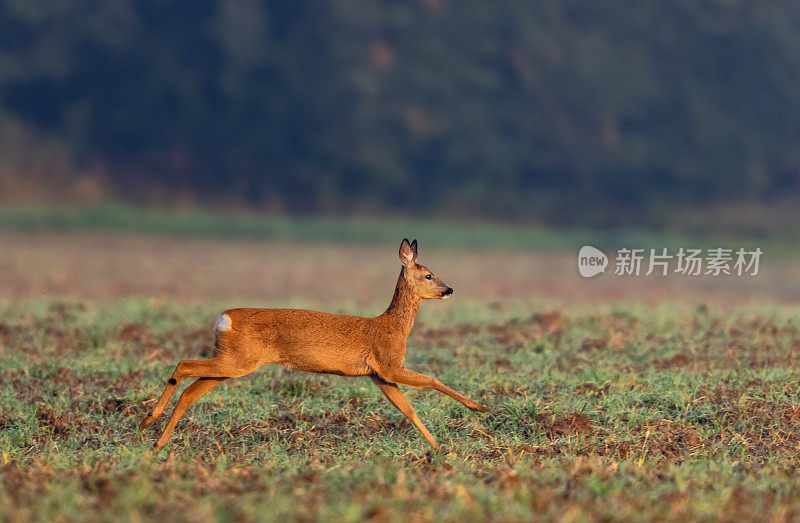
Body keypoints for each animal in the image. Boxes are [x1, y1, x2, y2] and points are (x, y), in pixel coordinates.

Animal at [140, 239, 488, 452]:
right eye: (429, 275)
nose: (449, 289)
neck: (391, 327)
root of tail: (222, 319)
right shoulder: (390, 364)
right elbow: (432, 380)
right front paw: (478, 407)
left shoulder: (379, 375)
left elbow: (409, 409)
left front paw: (439, 448)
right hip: (237, 360)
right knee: (183, 366)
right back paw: (149, 420)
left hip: (232, 362)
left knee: (190, 391)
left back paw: (157, 440)